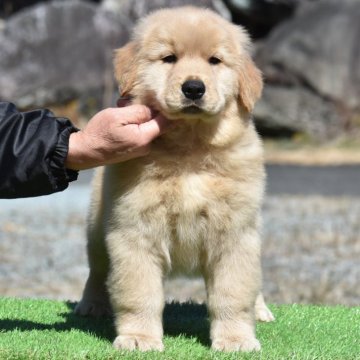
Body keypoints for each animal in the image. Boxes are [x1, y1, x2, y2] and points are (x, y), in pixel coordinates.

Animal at [75, 5, 272, 352]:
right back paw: (91, 305)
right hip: (96, 230)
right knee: (97, 271)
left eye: (215, 61)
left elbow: (234, 293)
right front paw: (139, 338)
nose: (193, 88)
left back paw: (260, 309)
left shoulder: (236, 233)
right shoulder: (134, 230)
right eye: (169, 58)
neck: (189, 149)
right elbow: (140, 293)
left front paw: (236, 339)